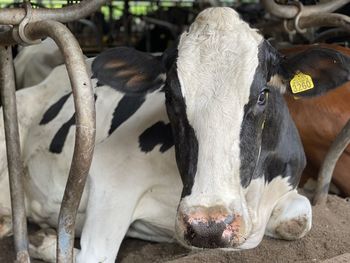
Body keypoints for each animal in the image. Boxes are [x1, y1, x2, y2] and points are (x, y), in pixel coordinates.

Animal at [0, 7, 350, 263]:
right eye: (169, 95)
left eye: (263, 94)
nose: (209, 226)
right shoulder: (112, 177)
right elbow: (95, 255)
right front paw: (41, 242)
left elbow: (298, 220)